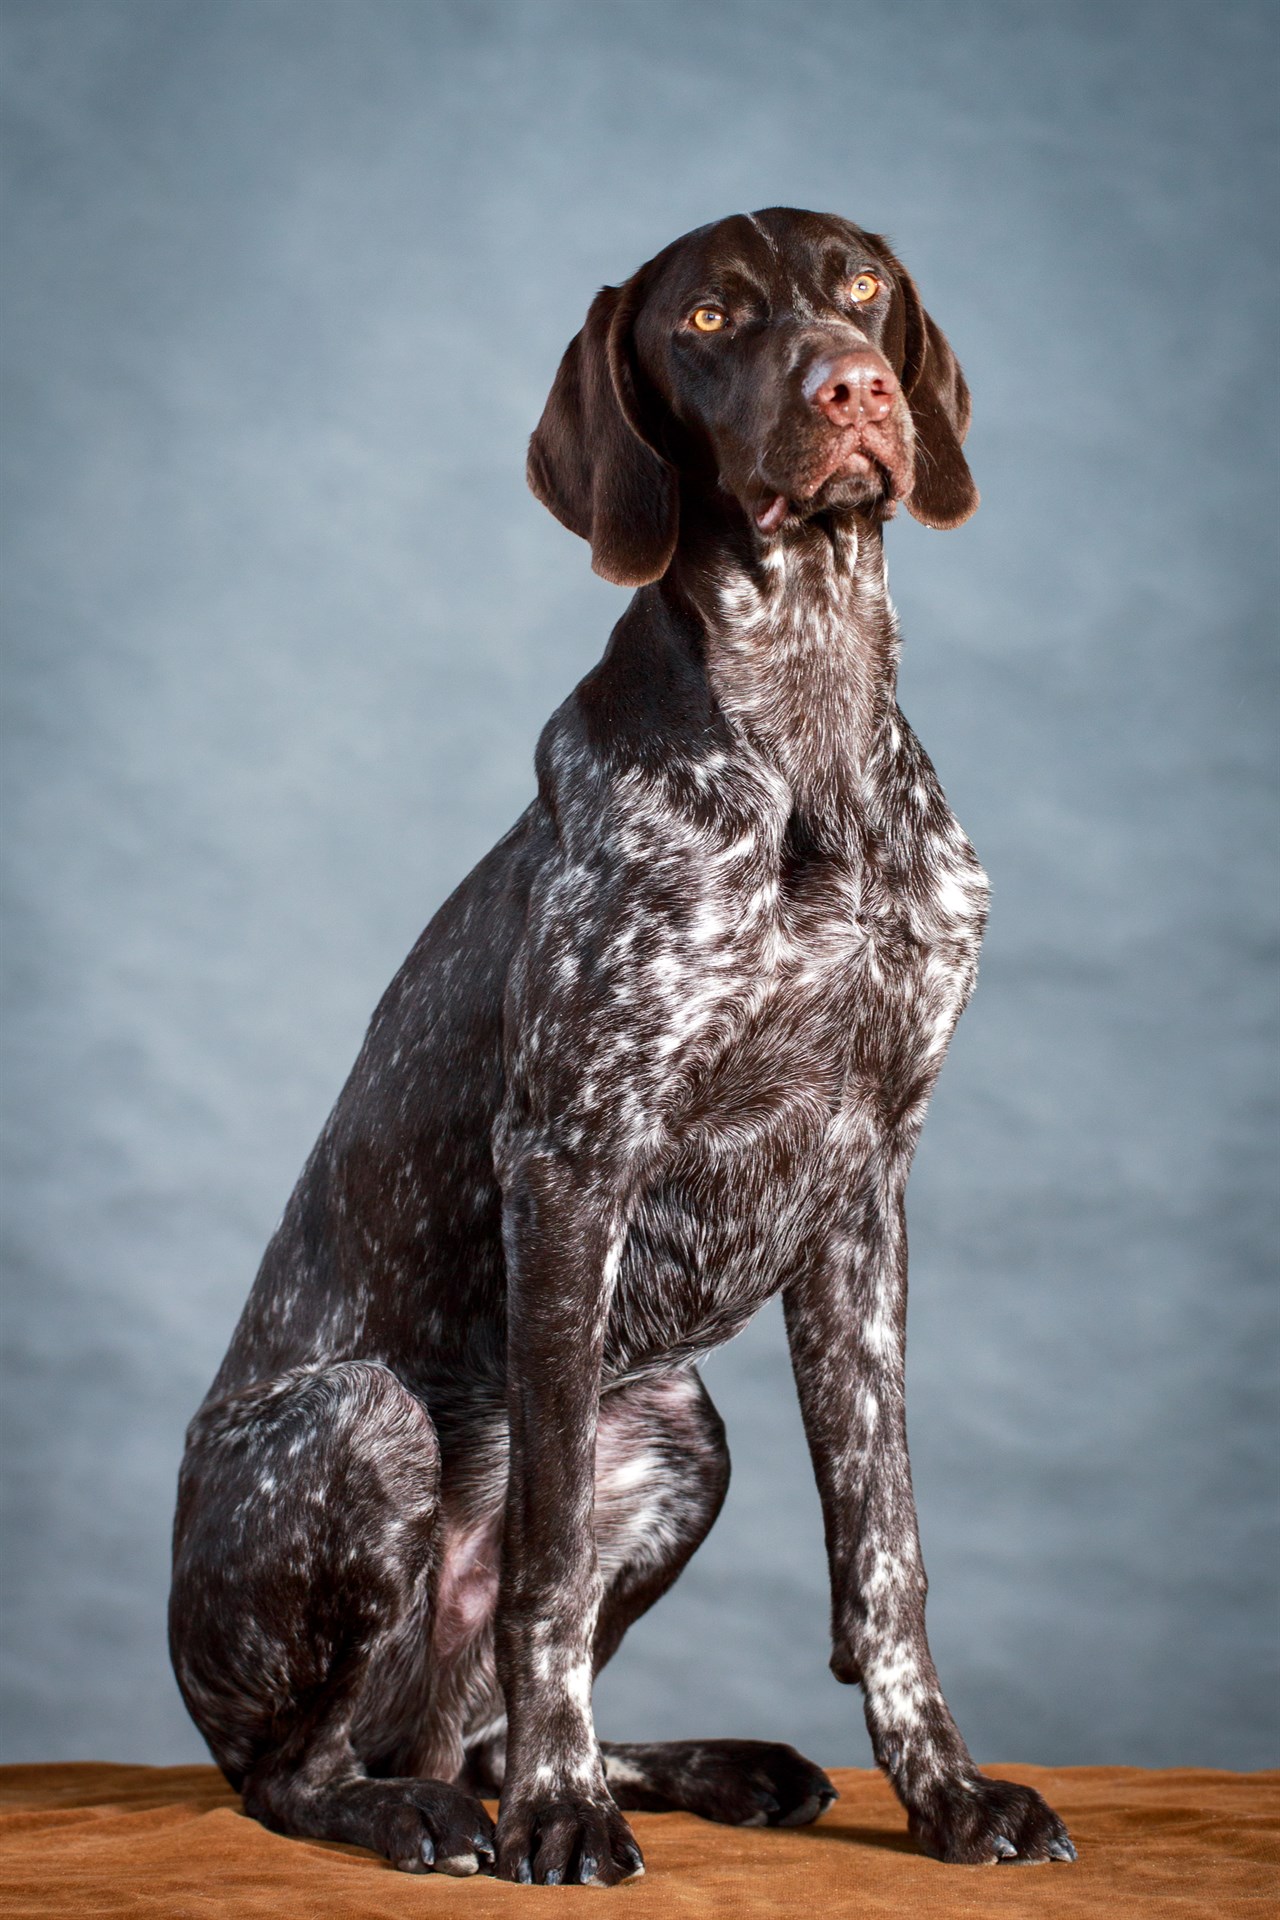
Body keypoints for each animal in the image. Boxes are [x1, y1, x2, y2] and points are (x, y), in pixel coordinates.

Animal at [167, 202, 1074, 1881]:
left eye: (862, 288)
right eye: (708, 317)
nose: (855, 387)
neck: (807, 727)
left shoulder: (867, 1189)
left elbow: (885, 1552)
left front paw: (947, 1792)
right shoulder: (572, 1157)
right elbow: (541, 1573)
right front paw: (560, 1814)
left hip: (682, 1431)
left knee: (475, 1710)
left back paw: (702, 1765)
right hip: (362, 1422)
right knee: (305, 1766)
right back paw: (438, 1808)